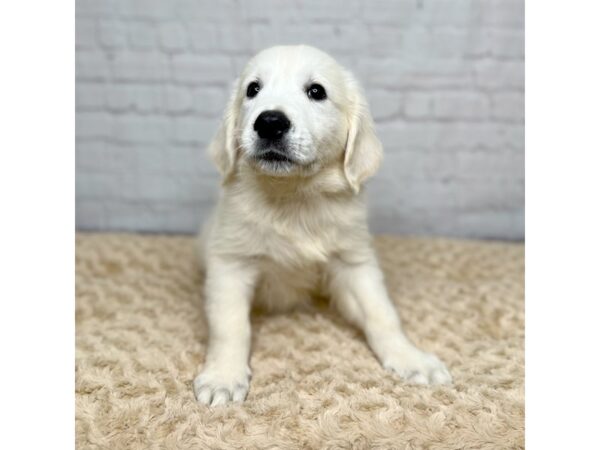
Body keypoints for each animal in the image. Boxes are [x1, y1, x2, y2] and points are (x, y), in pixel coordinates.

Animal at [192, 46, 450, 408]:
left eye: (317, 91)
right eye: (252, 89)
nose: (270, 122)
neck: (294, 197)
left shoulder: (354, 262)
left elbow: (381, 314)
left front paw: (410, 358)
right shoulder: (230, 263)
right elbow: (230, 326)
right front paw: (223, 377)